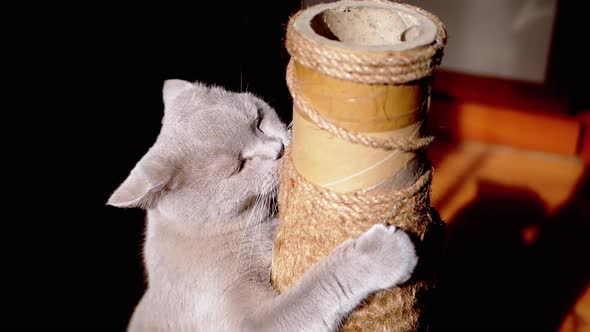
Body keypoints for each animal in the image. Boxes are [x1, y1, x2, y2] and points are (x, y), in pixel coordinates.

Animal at [107, 79, 420, 330]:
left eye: (258, 120)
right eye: (238, 166)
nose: (277, 149)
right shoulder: (251, 321)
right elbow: (317, 287)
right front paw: (383, 252)